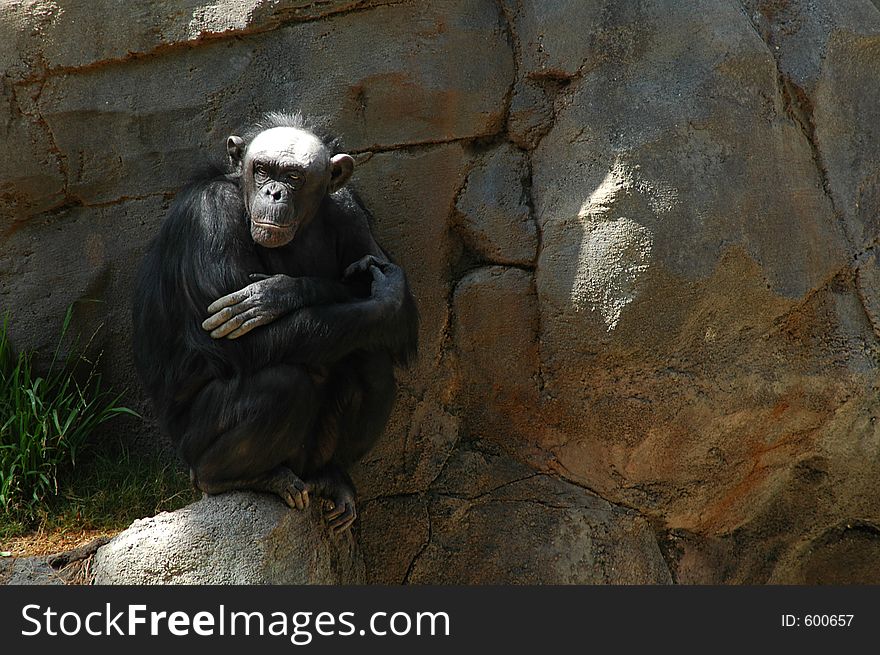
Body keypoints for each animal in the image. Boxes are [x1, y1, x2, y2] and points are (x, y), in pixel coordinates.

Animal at [131, 113, 420, 532]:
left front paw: (281, 292)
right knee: (282, 384)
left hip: (307, 458)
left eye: (294, 176)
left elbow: (397, 310)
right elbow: (241, 344)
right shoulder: (209, 214)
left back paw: (331, 477)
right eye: (263, 169)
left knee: (371, 360)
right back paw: (235, 479)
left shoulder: (350, 209)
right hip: (190, 448)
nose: (274, 194)